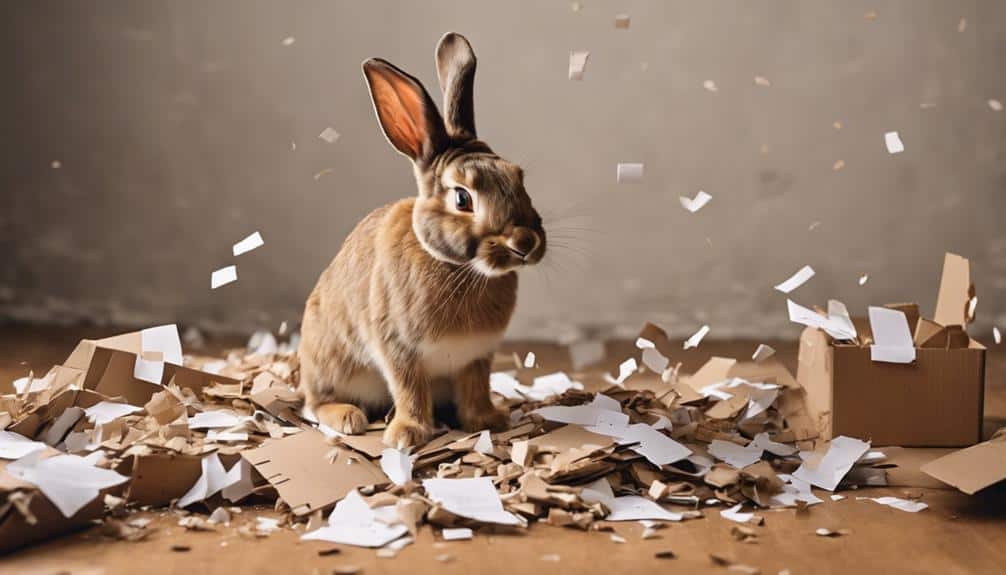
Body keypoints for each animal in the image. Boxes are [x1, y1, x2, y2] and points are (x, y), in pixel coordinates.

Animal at [298, 32, 546, 449]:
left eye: (519, 178)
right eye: (462, 198)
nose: (525, 242)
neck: (459, 268)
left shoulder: (476, 357)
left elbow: (475, 389)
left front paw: (488, 420)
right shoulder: (398, 351)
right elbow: (409, 390)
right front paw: (407, 434)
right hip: (328, 361)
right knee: (314, 404)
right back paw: (349, 417)